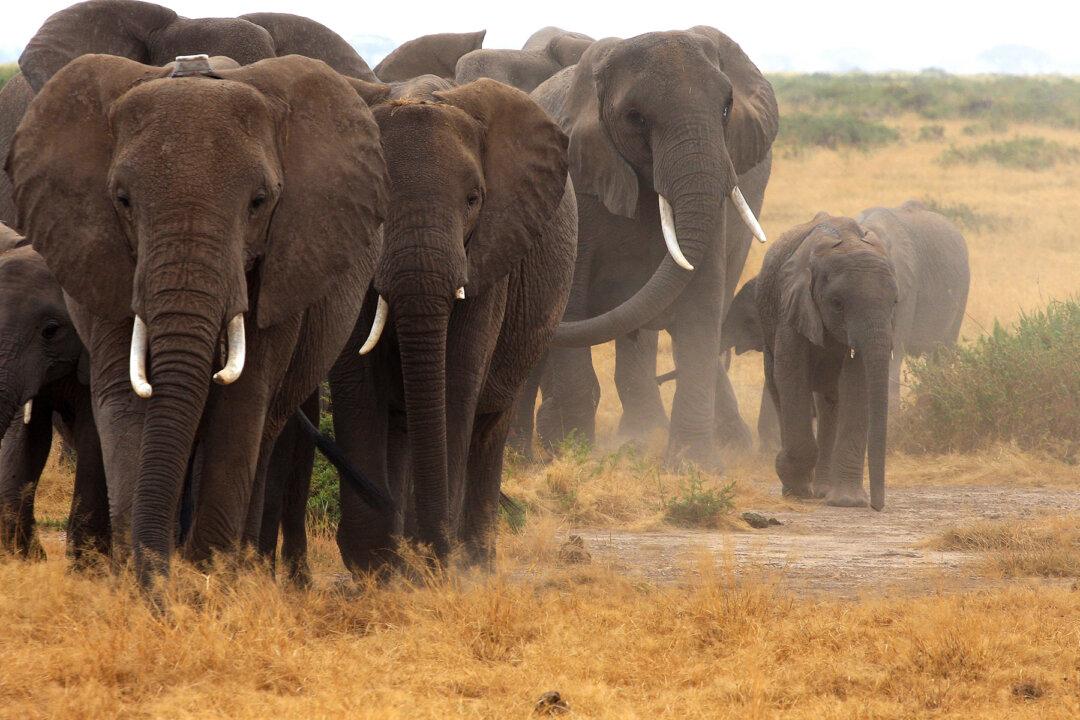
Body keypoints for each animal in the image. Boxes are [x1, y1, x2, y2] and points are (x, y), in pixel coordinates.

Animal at [320, 78, 575, 572]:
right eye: (376, 200)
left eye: (473, 200)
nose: (433, 550)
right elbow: (356, 380)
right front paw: (378, 566)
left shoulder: (490, 251)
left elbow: (456, 380)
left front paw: (431, 563)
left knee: (489, 424)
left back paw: (475, 560)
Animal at [514, 27, 778, 469]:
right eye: (635, 118)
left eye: (726, 108)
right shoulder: (576, 186)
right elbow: (571, 301)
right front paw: (574, 453)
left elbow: (702, 304)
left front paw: (693, 466)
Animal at [757, 213, 899, 510]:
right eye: (837, 304)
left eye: (895, 302)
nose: (877, 506)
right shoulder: (792, 307)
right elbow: (791, 375)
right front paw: (796, 487)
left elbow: (857, 382)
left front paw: (848, 502)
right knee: (778, 387)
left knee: (830, 402)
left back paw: (823, 491)